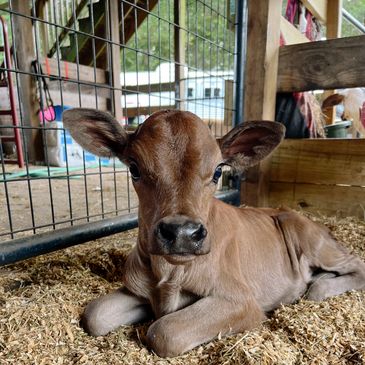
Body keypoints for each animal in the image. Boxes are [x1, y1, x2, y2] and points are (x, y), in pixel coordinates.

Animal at [62, 109, 364, 356]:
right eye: (134, 168)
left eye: (218, 171)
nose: (182, 233)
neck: (170, 274)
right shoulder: (139, 289)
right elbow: (94, 315)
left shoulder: (240, 300)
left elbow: (163, 332)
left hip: (307, 236)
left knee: (356, 264)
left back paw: (317, 286)